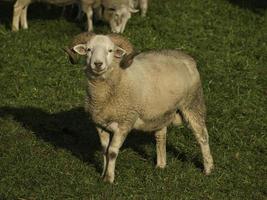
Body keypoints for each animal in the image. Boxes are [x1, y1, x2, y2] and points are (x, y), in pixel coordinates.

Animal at [65, 33, 216, 184]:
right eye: (89, 49)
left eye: (110, 50)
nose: (97, 64)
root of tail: (187, 57)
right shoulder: (100, 124)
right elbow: (104, 150)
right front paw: (102, 174)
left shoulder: (125, 122)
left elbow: (112, 151)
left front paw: (109, 179)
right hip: (160, 113)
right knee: (161, 136)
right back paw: (161, 165)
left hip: (192, 103)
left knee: (202, 136)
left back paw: (208, 169)